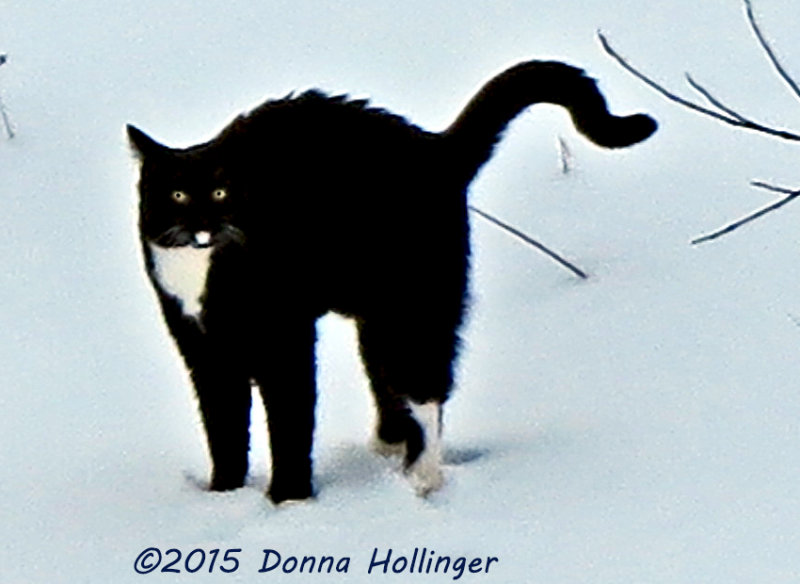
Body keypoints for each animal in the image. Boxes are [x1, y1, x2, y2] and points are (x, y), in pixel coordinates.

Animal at [128, 61, 656, 504]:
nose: (201, 223)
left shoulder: (285, 341)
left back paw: (422, 478)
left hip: (416, 300)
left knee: (428, 387)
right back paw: (388, 447)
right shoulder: (202, 348)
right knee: (389, 380)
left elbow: (290, 420)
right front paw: (223, 498)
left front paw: (287, 500)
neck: (203, 272)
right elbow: (224, 428)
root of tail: (433, 148)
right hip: (377, 314)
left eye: (220, 191)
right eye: (177, 194)